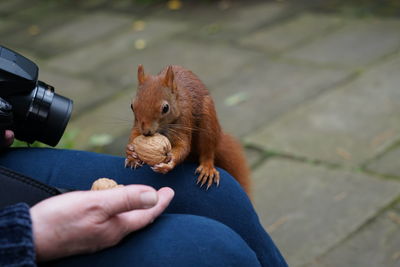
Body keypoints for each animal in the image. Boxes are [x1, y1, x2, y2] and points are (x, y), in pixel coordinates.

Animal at [125, 65, 250, 195]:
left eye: (165, 108)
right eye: (132, 106)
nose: (146, 132)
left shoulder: (184, 120)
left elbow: (183, 147)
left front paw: (169, 163)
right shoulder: (137, 125)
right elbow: (134, 134)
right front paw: (130, 153)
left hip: (208, 123)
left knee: (208, 150)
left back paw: (207, 168)